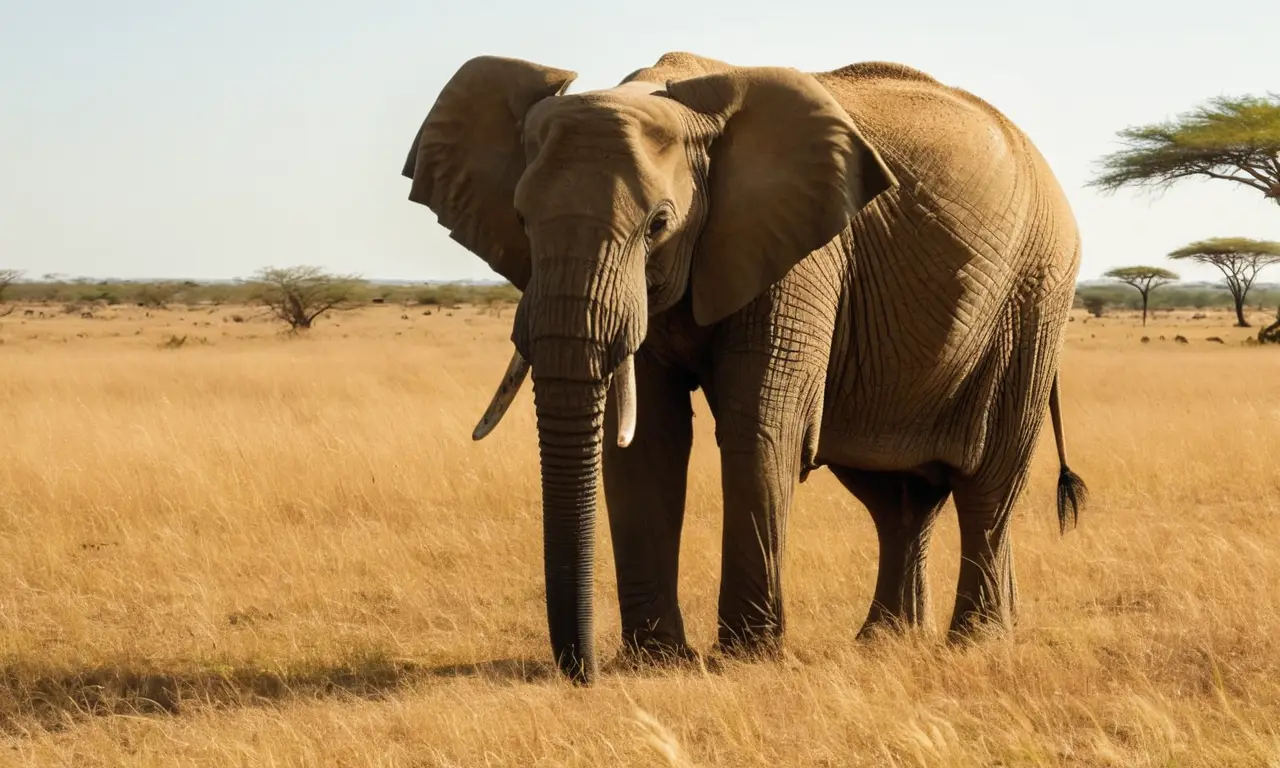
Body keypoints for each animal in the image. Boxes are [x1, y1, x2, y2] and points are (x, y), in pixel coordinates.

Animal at [400, 51, 1088, 685]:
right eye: (520, 219)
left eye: (659, 223)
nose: (582, 672)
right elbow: (648, 440)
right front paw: (658, 661)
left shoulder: (799, 255)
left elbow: (759, 423)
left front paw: (745, 659)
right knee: (897, 501)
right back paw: (885, 642)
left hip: (1035, 298)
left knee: (989, 483)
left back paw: (976, 642)